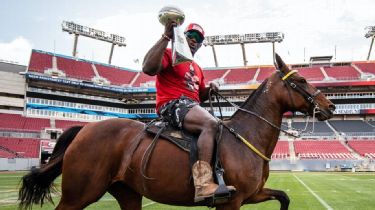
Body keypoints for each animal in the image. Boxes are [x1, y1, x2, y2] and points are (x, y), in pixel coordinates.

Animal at [18, 53, 334, 209]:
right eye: (301, 80)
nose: (329, 105)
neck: (245, 138)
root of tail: (85, 130)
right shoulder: (231, 203)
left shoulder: (252, 195)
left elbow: (284, 197)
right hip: (79, 194)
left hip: (127, 193)